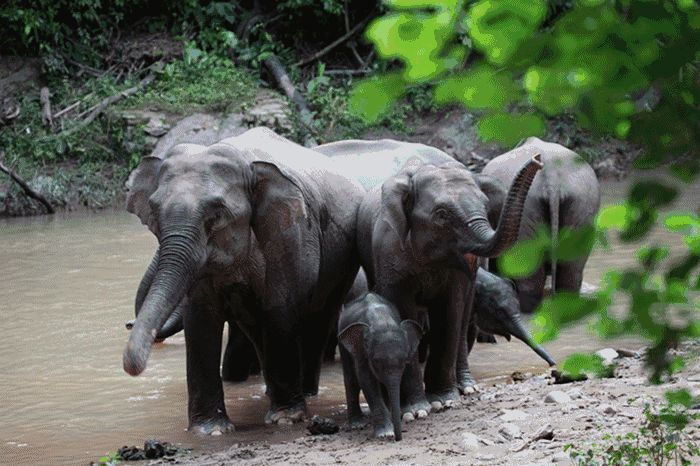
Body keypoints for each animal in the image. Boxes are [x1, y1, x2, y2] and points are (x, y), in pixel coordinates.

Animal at [123, 127, 364, 434]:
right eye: (153, 211)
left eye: (216, 214)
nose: (129, 325)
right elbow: (201, 315)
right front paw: (209, 430)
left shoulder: (290, 234)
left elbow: (279, 305)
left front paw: (287, 419)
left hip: (342, 265)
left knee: (318, 319)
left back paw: (305, 394)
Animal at [338, 292, 424, 440]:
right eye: (376, 361)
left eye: (404, 361)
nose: (398, 438)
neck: (382, 321)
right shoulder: (362, 351)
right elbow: (366, 379)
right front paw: (385, 433)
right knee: (351, 380)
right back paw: (357, 424)